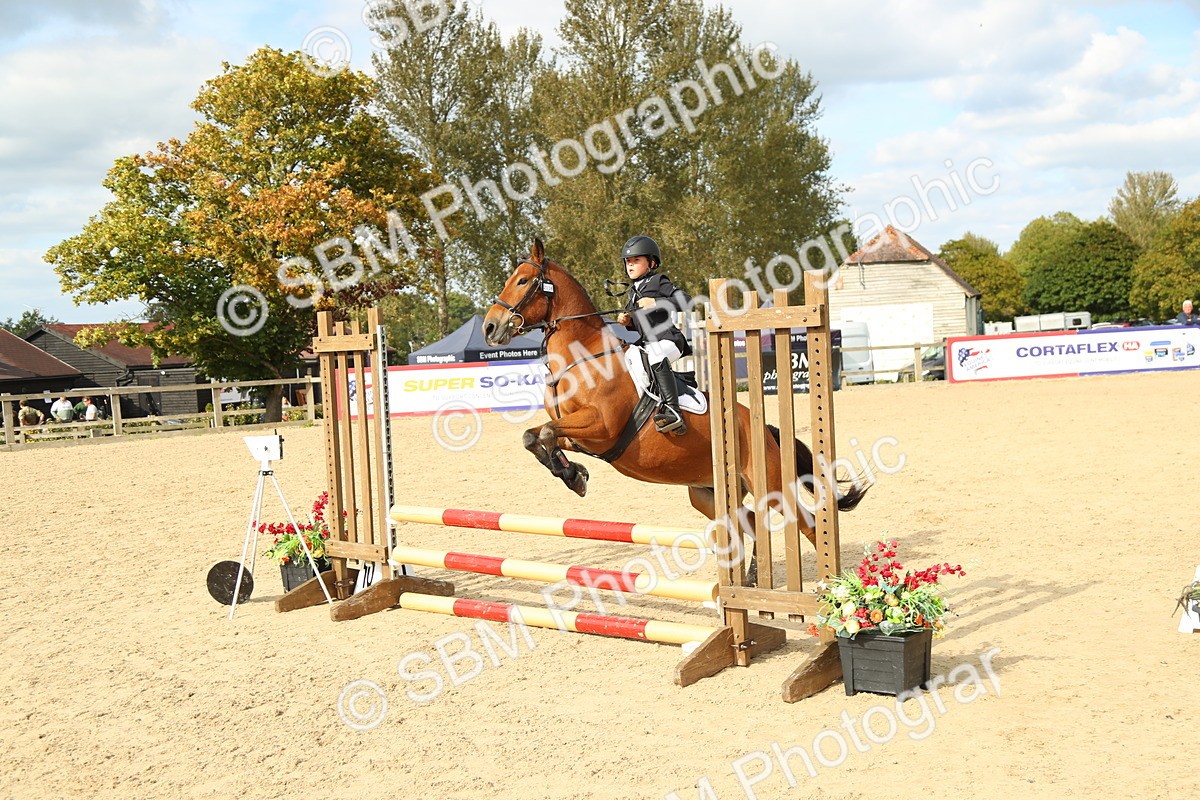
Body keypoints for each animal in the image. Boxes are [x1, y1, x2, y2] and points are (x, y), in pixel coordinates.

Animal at [481, 239, 869, 555]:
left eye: (522, 281)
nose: (489, 327)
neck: (583, 357)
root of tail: (765, 430)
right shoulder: (581, 434)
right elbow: (534, 436)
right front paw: (573, 473)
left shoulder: (601, 427)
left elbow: (545, 432)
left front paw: (574, 476)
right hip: (707, 493)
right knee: (746, 523)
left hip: (769, 485)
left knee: (806, 524)